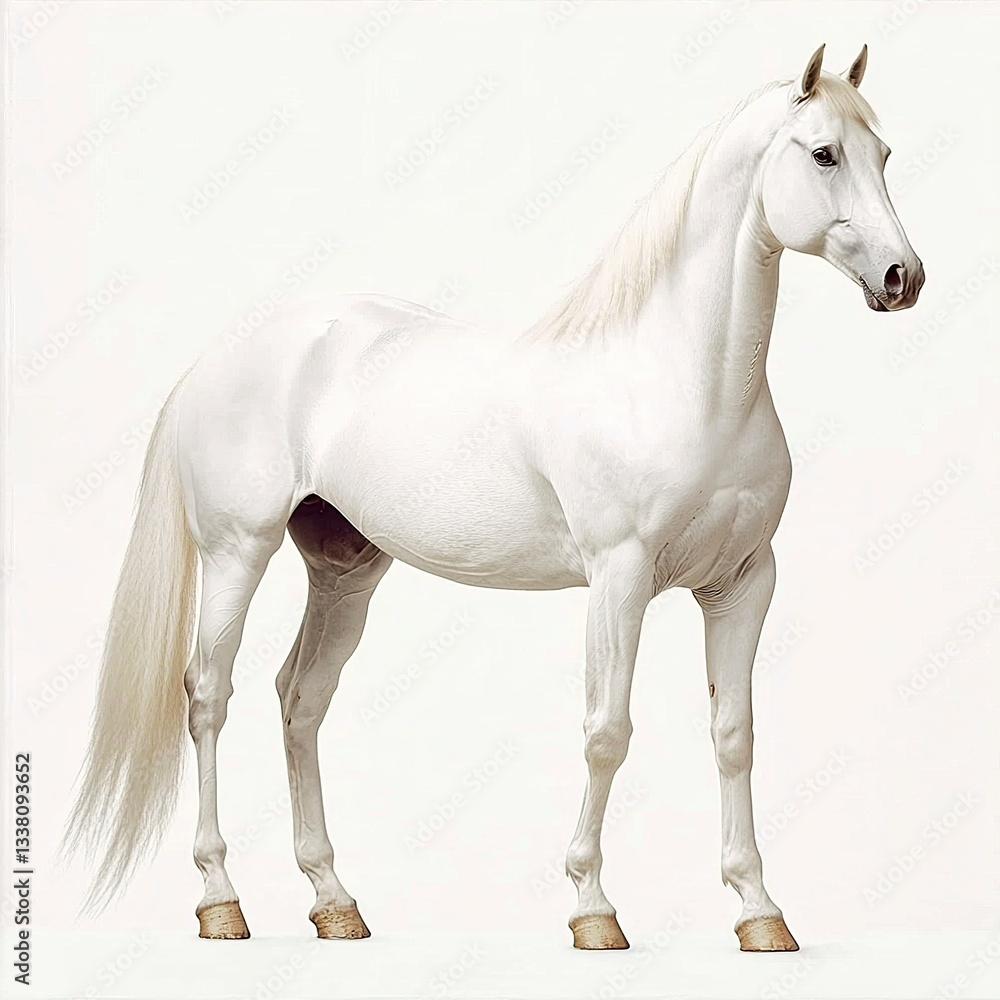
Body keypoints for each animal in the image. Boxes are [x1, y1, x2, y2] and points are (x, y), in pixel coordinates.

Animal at [62, 44, 924, 952]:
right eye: (823, 153)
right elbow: (607, 734)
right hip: (237, 553)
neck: (680, 380)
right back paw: (221, 899)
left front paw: (758, 910)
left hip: (344, 572)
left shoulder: (744, 582)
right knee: (208, 697)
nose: (903, 277)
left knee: (300, 698)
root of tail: (217, 357)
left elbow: (734, 736)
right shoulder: (620, 580)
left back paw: (334, 901)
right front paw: (593, 909)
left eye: (883, 154)